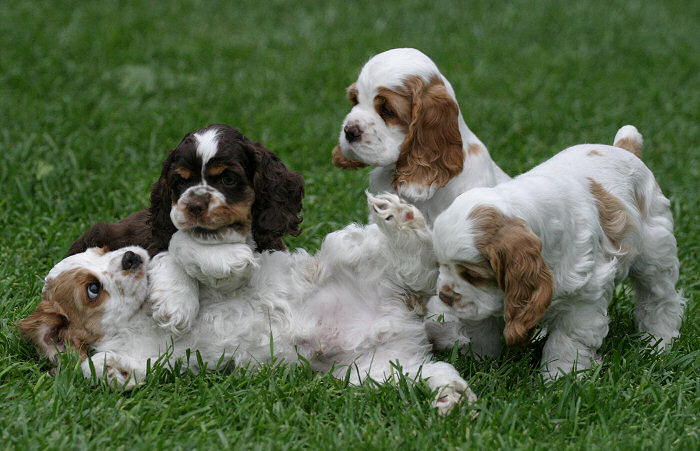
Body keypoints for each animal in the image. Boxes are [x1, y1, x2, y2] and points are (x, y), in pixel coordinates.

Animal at [19, 192, 476, 414]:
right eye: (92, 289)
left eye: (102, 250)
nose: (132, 256)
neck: (137, 320)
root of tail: (403, 316)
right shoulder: (149, 355)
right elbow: (107, 366)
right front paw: (109, 371)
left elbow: (181, 251)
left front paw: (215, 264)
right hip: (373, 372)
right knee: (433, 370)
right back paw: (451, 396)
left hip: (357, 257)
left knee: (415, 262)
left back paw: (399, 216)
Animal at [430, 125, 688, 380]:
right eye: (440, 266)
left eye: (472, 275)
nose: (444, 296)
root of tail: (624, 148)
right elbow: (481, 330)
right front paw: (477, 365)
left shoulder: (583, 298)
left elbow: (567, 342)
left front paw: (560, 377)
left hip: (655, 254)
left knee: (660, 300)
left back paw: (657, 343)